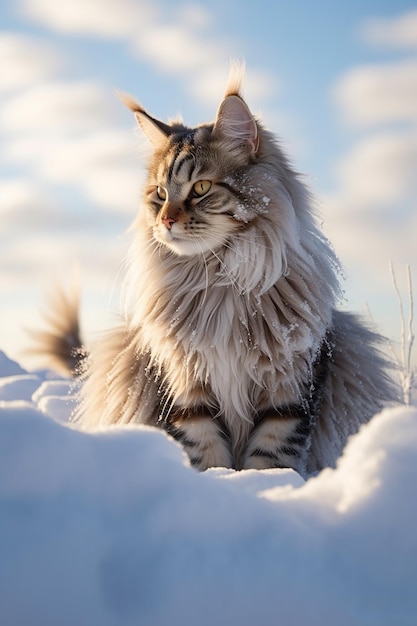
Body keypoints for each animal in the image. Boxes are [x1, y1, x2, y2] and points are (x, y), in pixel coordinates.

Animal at [37, 66, 398, 476]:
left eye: (201, 188)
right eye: (160, 193)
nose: (166, 221)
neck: (217, 277)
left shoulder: (290, 386)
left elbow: (271, 456)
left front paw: (263, 486)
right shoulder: (184, 383)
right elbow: (205, 451)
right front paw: (219, 481)